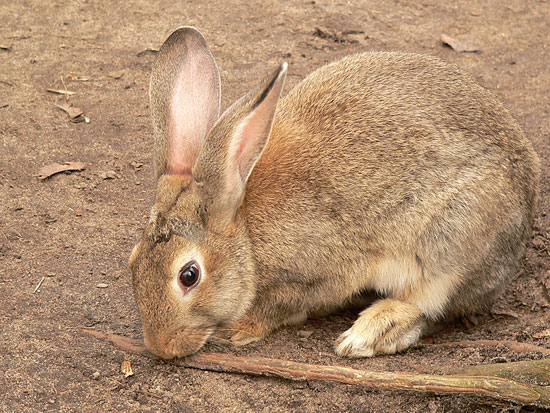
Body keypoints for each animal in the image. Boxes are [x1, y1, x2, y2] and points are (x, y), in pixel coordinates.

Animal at [128, 27, 540, 358]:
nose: (160, 346)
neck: (244, 235)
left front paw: (238, 330)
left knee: (432, 303)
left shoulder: (315, 275)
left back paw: (369, 334)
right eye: (133, 260)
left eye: (189, 275)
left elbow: (279, 308)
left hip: (451, 241)